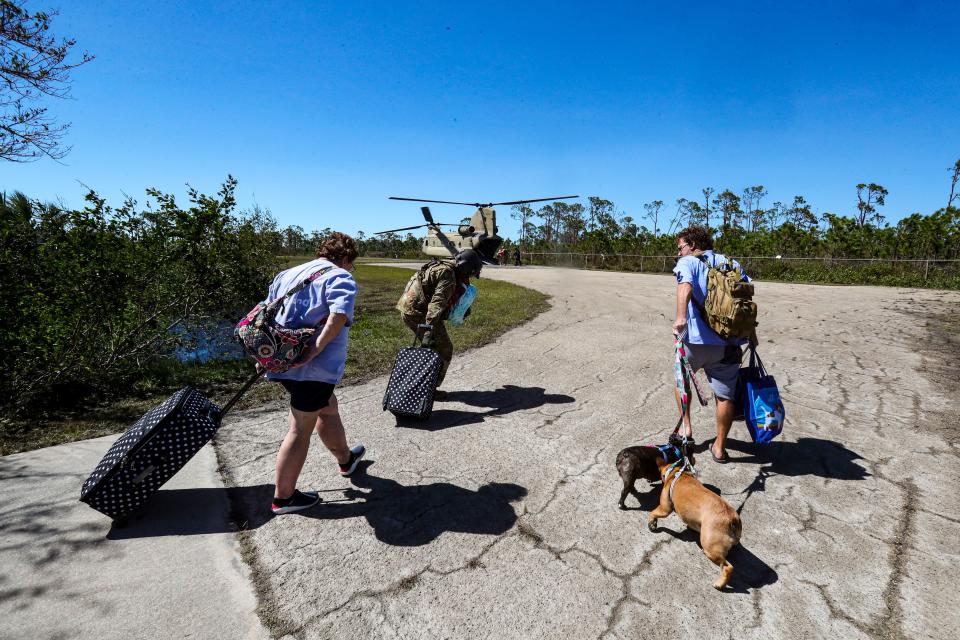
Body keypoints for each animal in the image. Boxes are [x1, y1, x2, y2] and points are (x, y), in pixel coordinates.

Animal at [648, 456, 748, 592]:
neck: (677, 473)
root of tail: (731, 519)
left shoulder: (664, 509)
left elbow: (652, 513)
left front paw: (652, 523)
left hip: (710, 547)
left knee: (727, 567)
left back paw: (720, 584)